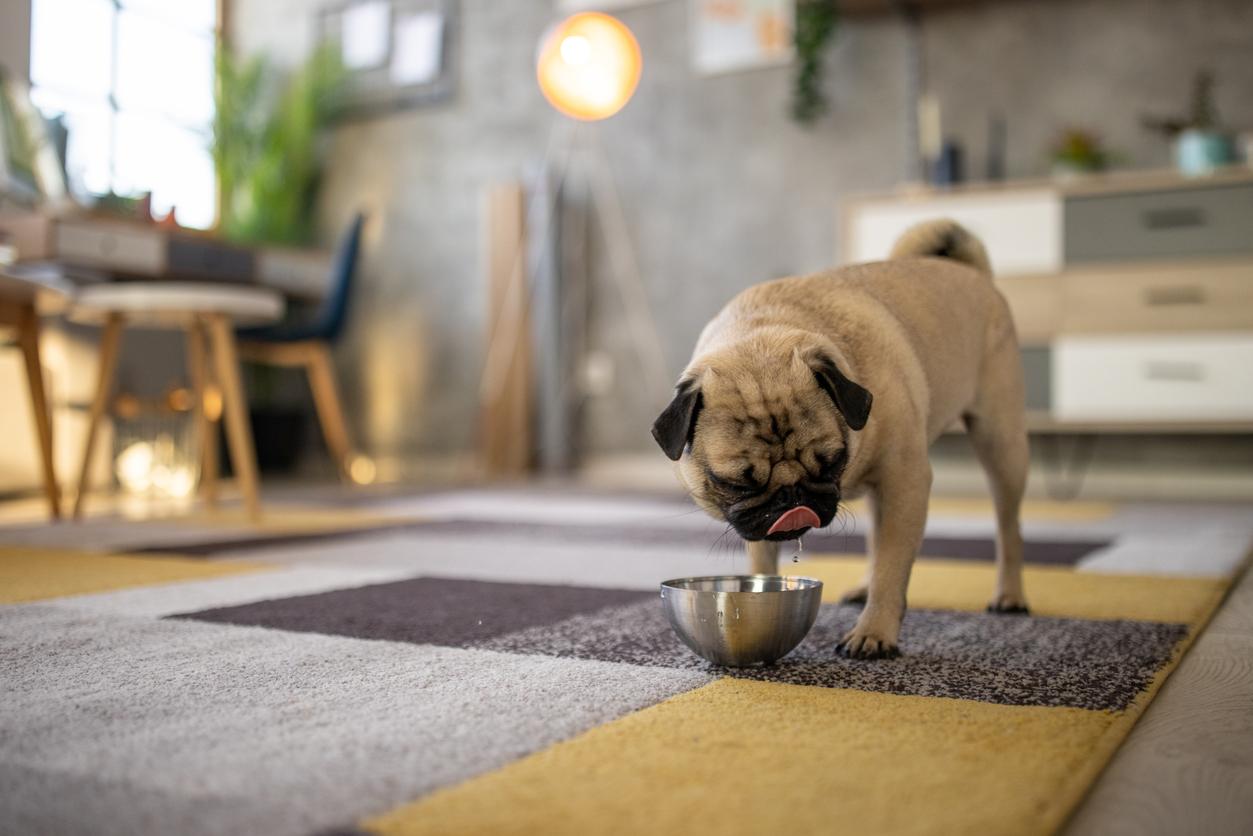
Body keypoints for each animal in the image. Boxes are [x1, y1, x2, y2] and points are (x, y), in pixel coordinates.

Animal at [656, 220, 1027, 661]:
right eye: (736, 483)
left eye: (832, 461)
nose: (791, 496)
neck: (762, 333)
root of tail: (974, 274)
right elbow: (767, 559)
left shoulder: (906, 481)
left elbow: (892, 567)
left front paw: (875, 631)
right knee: (880, 539)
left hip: (1000, 440)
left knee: (1006, 525)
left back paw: (1010, 595)